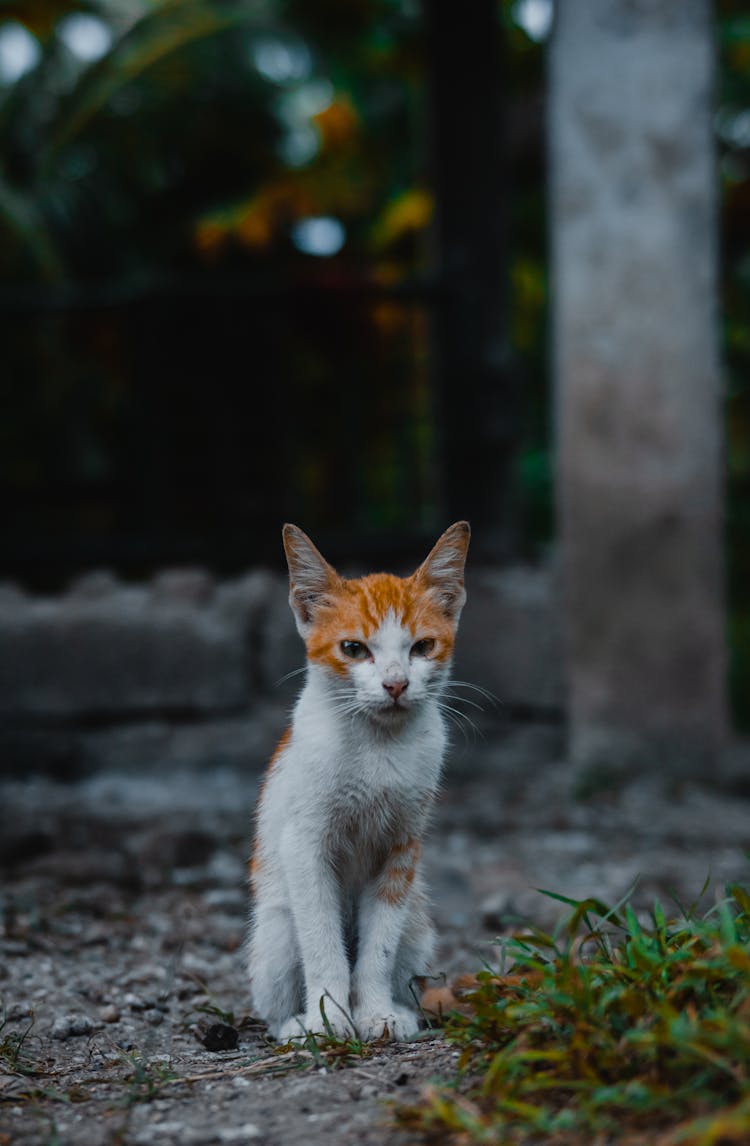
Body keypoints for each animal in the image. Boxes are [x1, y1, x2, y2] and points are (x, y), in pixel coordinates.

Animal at [246, 524, 470, 1045]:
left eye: (422, 647)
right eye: (353, 649)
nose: (395, 684)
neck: (377, 747)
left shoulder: (402, 848)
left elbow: (378, 948)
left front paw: (377, 1014)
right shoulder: (303, 845)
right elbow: (323, 942)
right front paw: (328, 1019)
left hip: (417, 922)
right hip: (275, 928)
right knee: (272, 1000)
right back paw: (294, 1025)